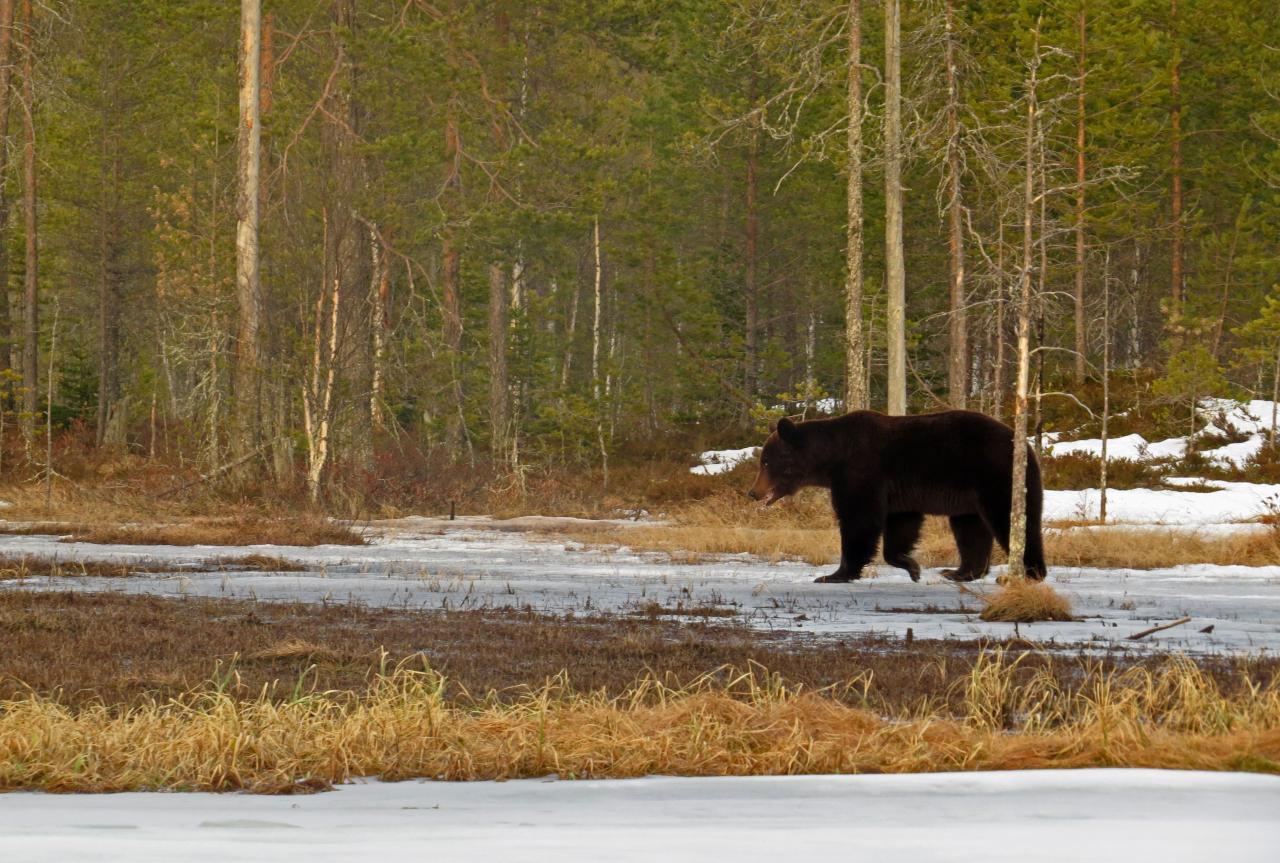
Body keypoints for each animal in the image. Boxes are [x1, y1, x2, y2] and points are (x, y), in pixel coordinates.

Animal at [747, 407, 1044, 581]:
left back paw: (1029, 573)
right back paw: (959, 572)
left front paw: (835, 573)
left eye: (766, 462)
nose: (753, 492)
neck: (831, 458)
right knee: (970, 529)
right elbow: (901, 524)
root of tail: (1025, 444)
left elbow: (859, 520)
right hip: (969, 496)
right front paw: (912, 566)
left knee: (1013, 521)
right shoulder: (899, 492)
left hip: (996, 477)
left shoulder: (860, 472)